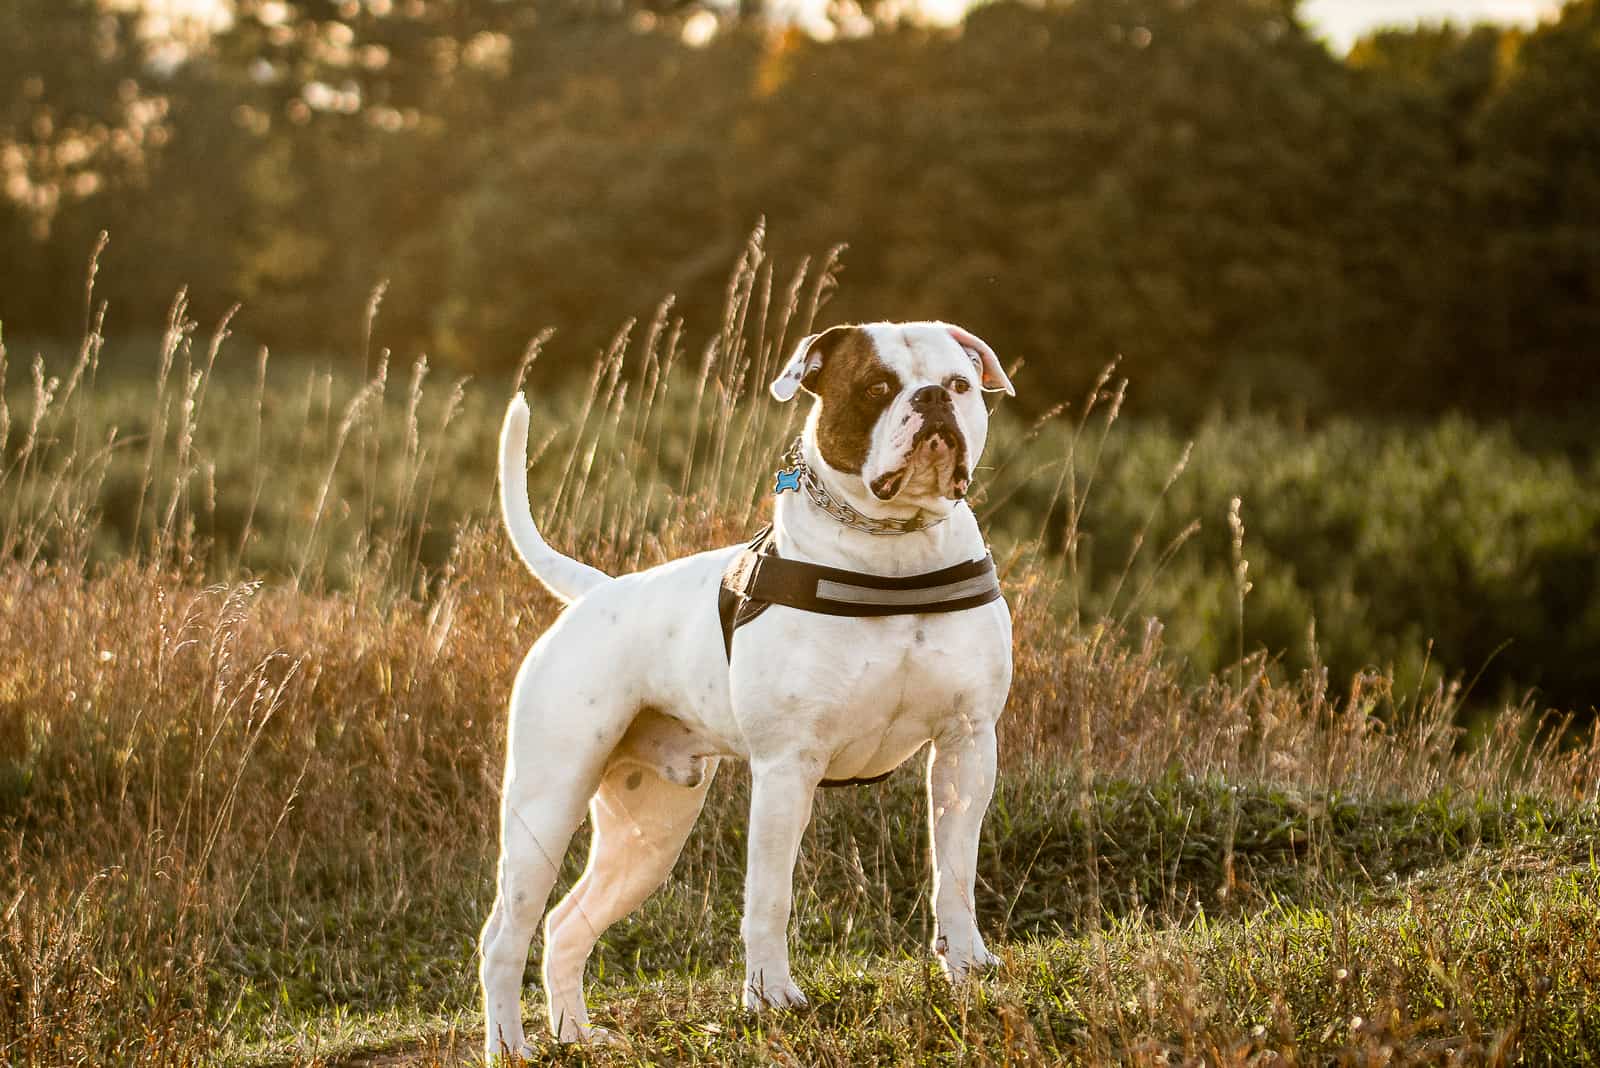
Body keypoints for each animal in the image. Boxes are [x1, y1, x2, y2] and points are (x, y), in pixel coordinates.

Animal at [473, 321, 1011, 1055]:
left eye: (958, 383)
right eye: (877, 387)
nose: (931, 399)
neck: (893, 555)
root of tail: (596, 592)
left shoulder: (966, 746)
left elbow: (953, 872)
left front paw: (967, 967)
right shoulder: (788, 768)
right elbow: (768, 893)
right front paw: (770, 997)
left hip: (647, 835)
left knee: (565, 923)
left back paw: (579, 1036)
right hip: (546, 804)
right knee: (504, 935)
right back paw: (511, 1047)